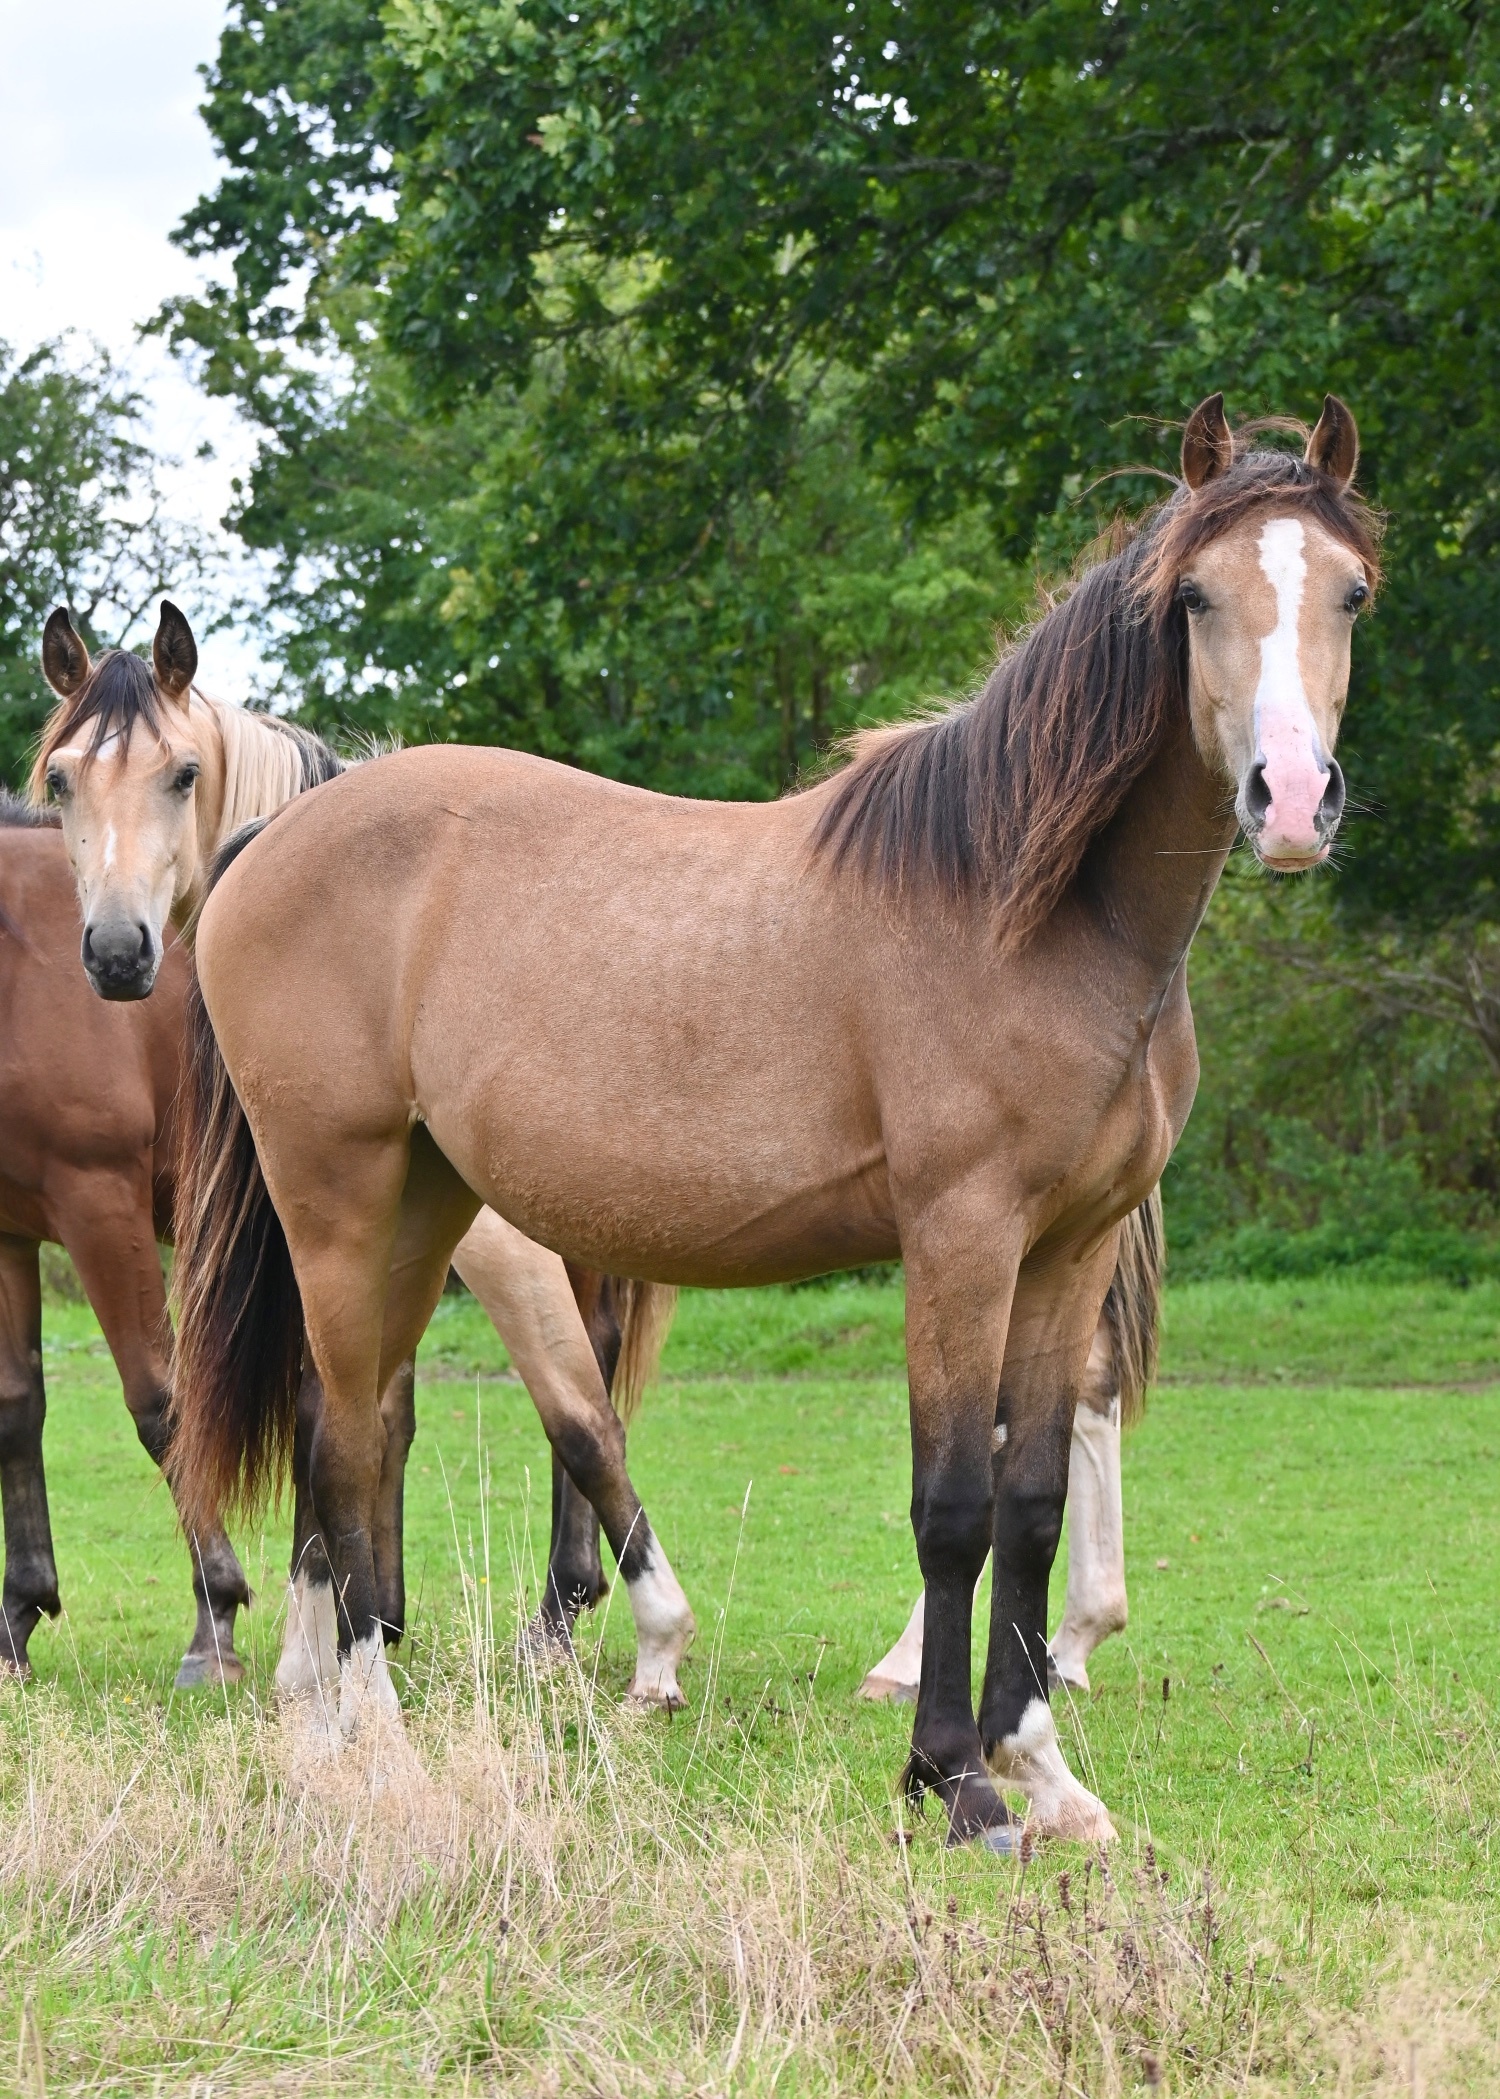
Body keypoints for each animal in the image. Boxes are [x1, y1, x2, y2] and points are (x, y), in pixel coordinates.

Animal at [16, 667, 690, 1705]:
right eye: (60, 778)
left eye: (183, 773)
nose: (120, 953)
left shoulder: (110, 1204)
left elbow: (206, 1409)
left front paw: (258, 1629)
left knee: (579, 1393)